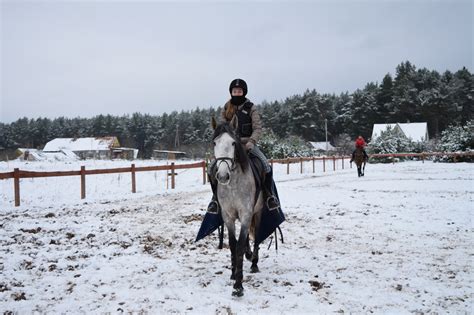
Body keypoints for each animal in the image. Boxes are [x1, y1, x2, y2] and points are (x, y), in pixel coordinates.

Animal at [211, 115, 262, 298]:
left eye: (233, 143)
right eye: (215, 142)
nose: (223, 176)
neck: (233, 184)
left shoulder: (246, 213)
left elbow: (239, 245)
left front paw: (239, 286)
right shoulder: (228, 215)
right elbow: (233, 244)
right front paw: (233, 274)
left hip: (258, 212)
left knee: (256, 237)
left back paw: (254, 263)